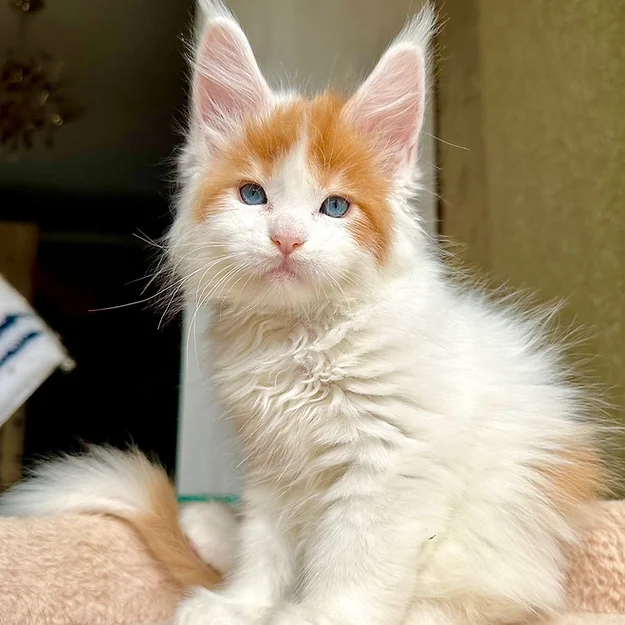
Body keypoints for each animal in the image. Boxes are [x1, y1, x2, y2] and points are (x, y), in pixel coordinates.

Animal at [168, 1, 608, 624]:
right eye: (253, 196)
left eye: (335, 207)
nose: (286, 238)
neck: (301, 336)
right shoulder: (272, 464)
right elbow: (265, 544)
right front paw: (242, 605)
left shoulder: (391, 460)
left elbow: (354, 560)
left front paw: (313, 617)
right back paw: (206, 525)